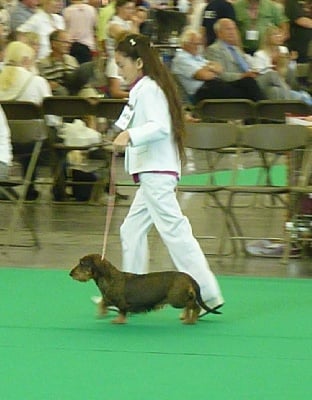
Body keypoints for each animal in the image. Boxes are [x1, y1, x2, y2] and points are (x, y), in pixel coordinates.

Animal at [69, 253, 219, 324]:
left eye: (82, 263)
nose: (70, 273)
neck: (110, 278)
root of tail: (189, 277)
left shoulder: (121, 303)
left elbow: (121, 312)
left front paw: (118, 321)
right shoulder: (108, 299)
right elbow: (102, 303)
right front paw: (102, 313)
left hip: (176, 299)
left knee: (194, 306)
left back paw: (191, 320)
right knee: (190, 306)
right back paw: (187, 317)